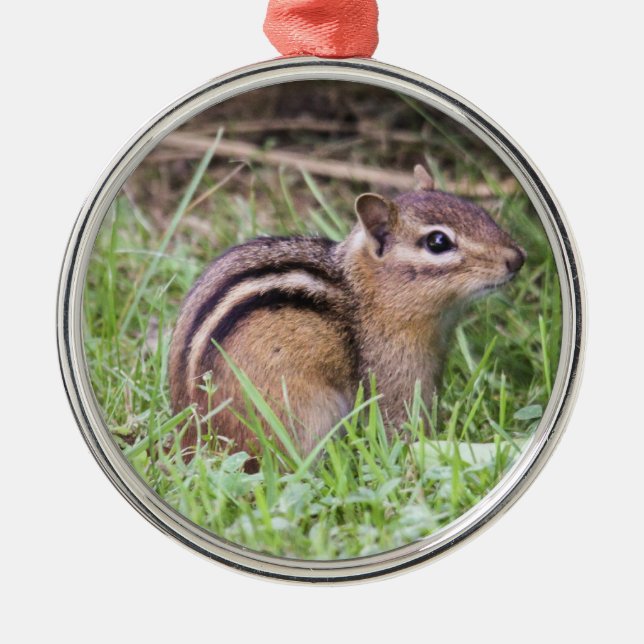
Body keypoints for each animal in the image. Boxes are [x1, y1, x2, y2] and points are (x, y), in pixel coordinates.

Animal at [168, 165, 525, 457]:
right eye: (438, 242)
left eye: (479, 211)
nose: (518, 258)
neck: (365, 294)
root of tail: (190, 438)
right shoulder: (395, 375)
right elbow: (400, 427)